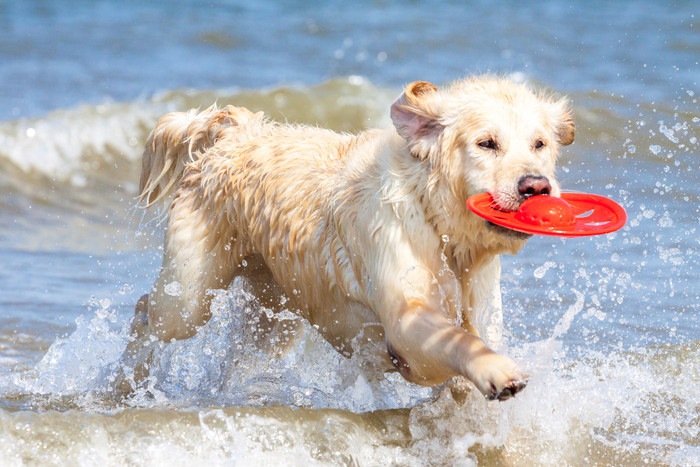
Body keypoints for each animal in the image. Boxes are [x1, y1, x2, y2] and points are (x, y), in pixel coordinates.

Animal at [120, 75, 576, 400]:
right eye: (486, 143)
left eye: (540, 144)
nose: (536, 186)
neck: (438, 223)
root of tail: (234, 132)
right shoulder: (406, 324)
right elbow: (456, 340)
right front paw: (498, 371)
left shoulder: (481, 302)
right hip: (189, 295)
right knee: (148, 312)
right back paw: (123, 385)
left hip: (274, 311)